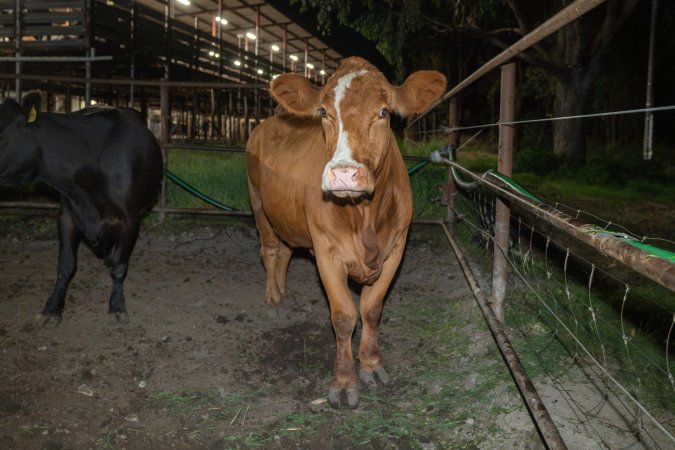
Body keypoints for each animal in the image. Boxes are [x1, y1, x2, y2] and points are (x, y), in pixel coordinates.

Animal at [0, 96, 164, 324]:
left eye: (1, 133)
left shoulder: (130, 221)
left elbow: (119, 265)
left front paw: (117, 307)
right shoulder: (67, 216)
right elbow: (65, 266)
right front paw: (52, 308)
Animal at [246, 56, 446, 408]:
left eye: (384, 112)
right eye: (324, 112)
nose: (343, 174)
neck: (364, 214)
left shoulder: (396, 248)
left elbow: (371, 309)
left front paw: (372, 365)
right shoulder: (327, 252)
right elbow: (343, 316)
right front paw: (343, 381)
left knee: (284, 251)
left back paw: (282, 290)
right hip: (257, 202)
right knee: (269, 250)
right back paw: (274, 300)